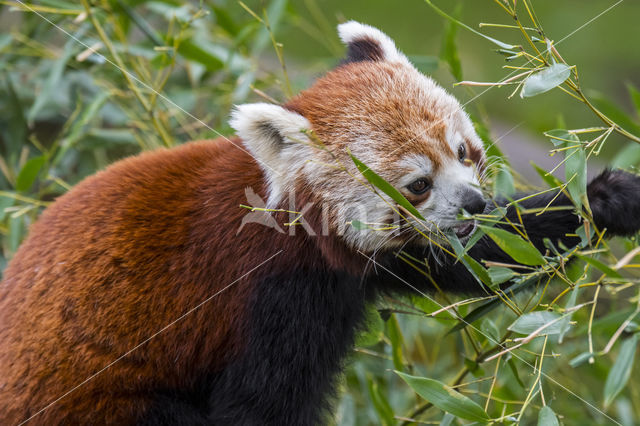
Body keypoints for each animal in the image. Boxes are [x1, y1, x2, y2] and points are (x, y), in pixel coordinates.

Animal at [1, 20, 640, 426]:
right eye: (417, 184)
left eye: (463, 152)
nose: (474, 203)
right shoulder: (271, 293)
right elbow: (259, 409)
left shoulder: (370, 263)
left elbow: (485, 255)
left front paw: (606, 198)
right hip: (99, 404)